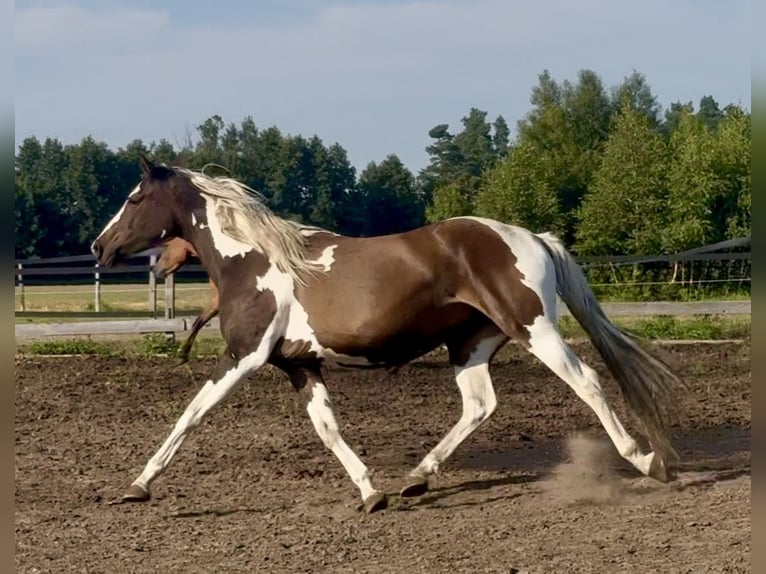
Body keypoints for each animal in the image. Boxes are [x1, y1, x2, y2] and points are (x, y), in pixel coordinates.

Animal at [91, 155, 681, 513]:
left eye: (135, 198)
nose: (99, 247)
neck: (254, 261)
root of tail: (530, 236)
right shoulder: (300, 364)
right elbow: (328, 430)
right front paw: (372, 492)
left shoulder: (245, 356)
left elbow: (191, 414)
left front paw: (137, 486)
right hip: (470, 344)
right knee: (479, 406)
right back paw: (416, 478)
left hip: (533, 328)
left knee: (587, 383)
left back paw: (648, 461)